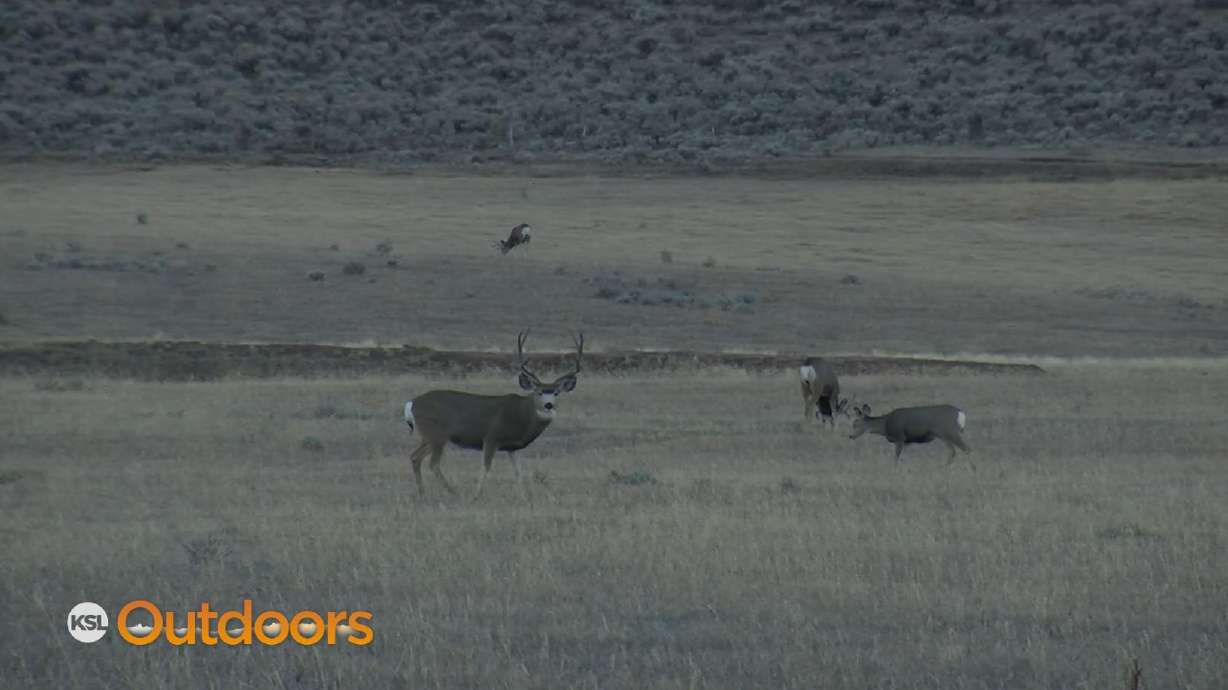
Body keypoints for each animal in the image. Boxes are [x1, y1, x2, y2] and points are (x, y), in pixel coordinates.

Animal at [403, 331, 583, 500]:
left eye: (556, 393)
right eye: (538, 392)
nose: (548, 405)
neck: (522, 414)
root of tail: (412, 403)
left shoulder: (511, 448)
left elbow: (518, 471)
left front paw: (525, 497)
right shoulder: (491, 438)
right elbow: (486, 466)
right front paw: (475, 496)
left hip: (429, 437)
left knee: (415, 457)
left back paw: (422, 492)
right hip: (437, 435)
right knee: (432, 463)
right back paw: (453, 492)